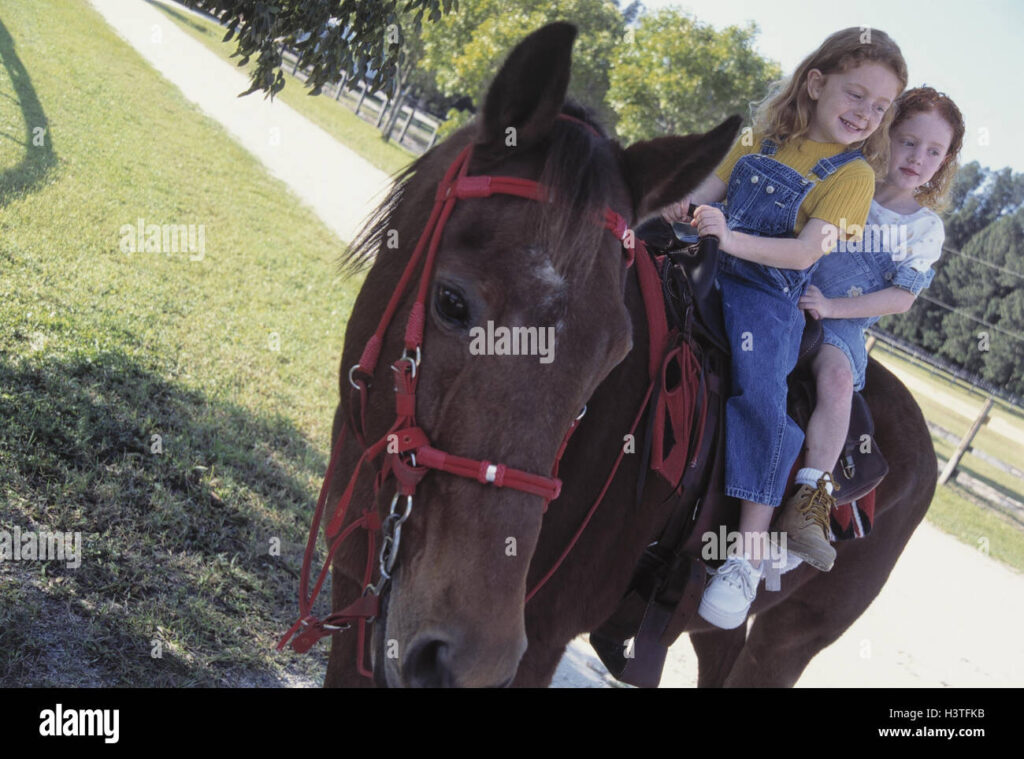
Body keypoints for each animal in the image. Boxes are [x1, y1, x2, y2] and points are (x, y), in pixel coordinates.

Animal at [311, 22, 937, 688]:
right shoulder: (355, 594)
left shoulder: (540, 641)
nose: (472, 659)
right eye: (451, 302)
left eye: (615, 356)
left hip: (788, 642)